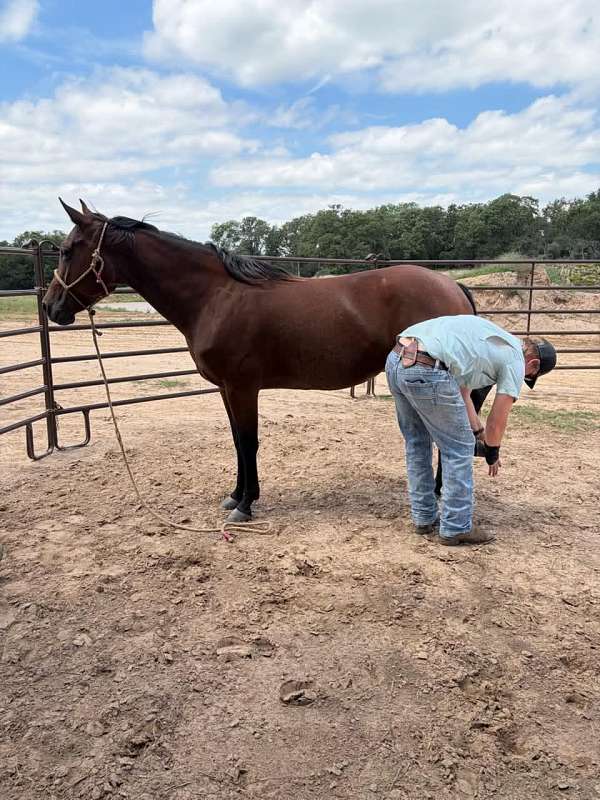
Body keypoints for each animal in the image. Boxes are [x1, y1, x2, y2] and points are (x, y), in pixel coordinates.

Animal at [43, 200, 488, 523]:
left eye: (66, 251)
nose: (50, 307)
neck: (215, 297)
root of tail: (451, 285)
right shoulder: (227, 389)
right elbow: (237, 443)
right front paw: (235, 496)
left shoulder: (242, 387)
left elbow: (248, 441)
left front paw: (245, 505)